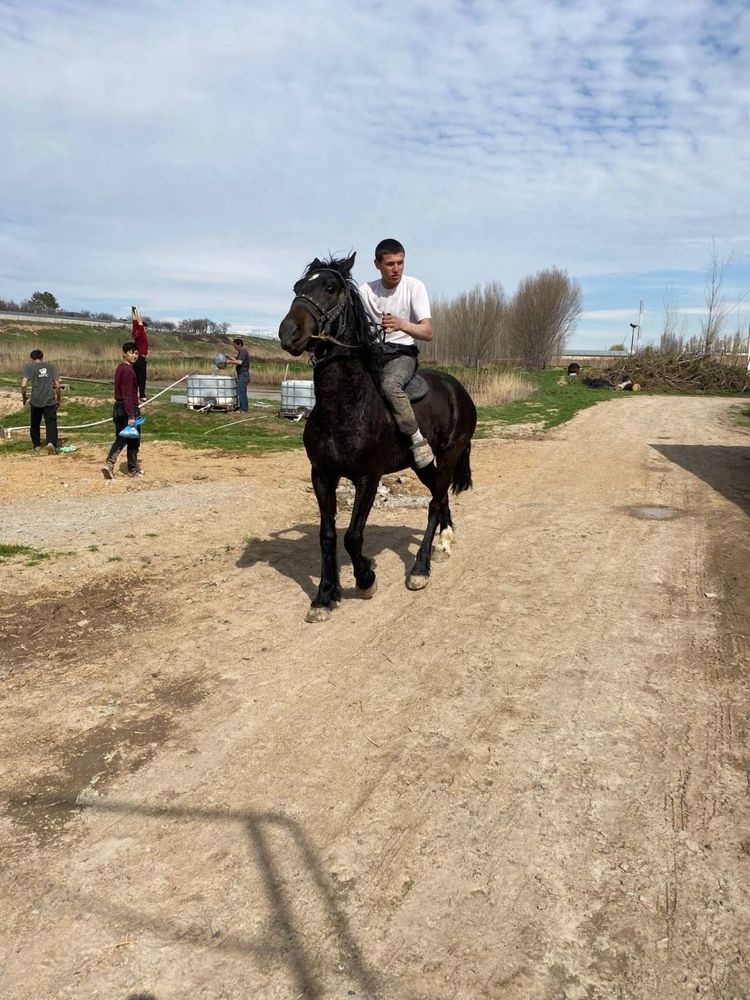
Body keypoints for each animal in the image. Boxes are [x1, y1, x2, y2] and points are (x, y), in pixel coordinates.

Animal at [276, 254, 476, 620]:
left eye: (330, 287)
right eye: (298, 287)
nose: (289, 332)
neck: (344, 405)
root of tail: (460, 390)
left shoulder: (367, 478)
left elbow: (353, 537)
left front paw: (366, 578)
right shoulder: (322, 475)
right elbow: (328, 535)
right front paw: (325, 595)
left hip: (449, 455)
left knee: (434, 503)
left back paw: (420, 568)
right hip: (422, 464)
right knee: (439, 498)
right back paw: (445, 540)